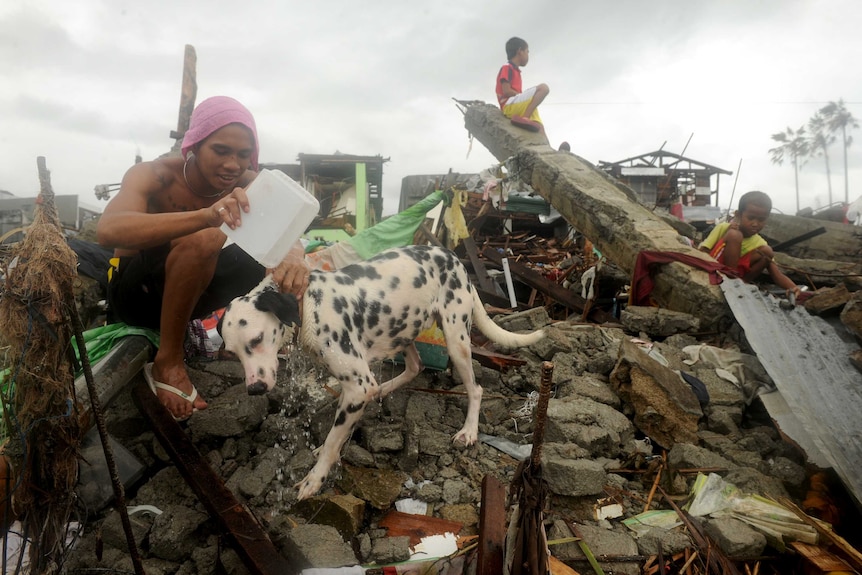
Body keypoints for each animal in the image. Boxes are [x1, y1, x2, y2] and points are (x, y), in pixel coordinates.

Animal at [223, 243, 548, 500]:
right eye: (232, 352)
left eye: (256, 339)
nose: (254, 389)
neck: (309, 302)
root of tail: (452, 257)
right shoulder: (355, 388)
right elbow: (337, 432)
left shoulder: (358, 387)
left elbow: (332, 442)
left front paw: (315, 478)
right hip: (401, 329)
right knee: (414, 367)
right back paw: (384, 390)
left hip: (456, 340)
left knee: (475, 388)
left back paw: (468, 431)